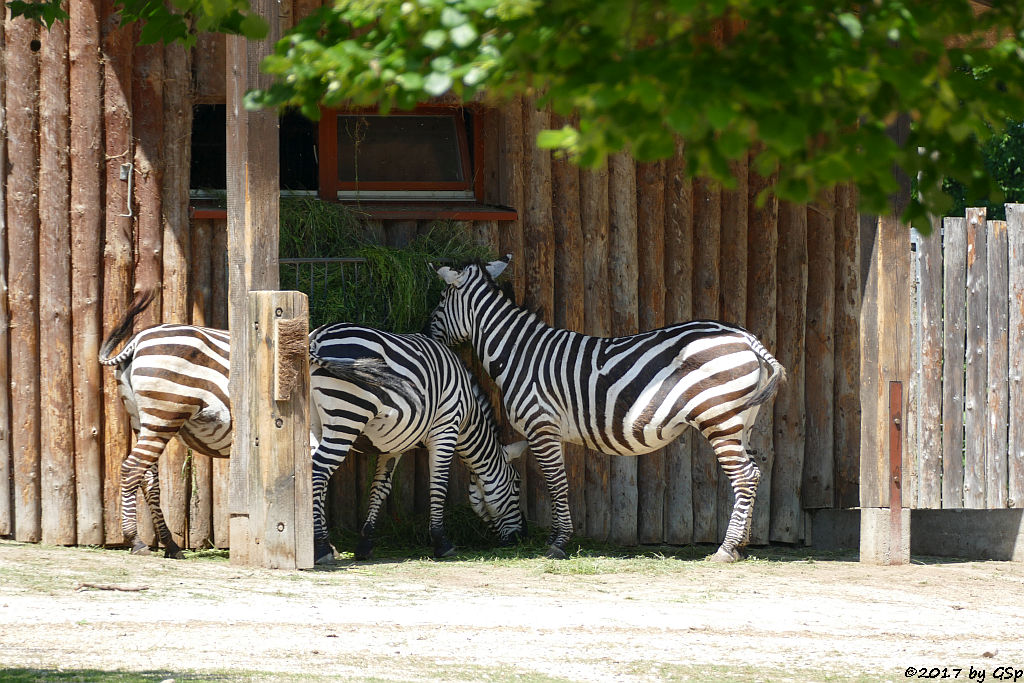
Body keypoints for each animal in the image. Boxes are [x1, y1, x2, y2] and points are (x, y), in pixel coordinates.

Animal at [309, 323, 528, 565]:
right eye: (517, 484)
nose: (522, 536)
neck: (468, 415)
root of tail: (317, 338)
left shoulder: (392, 446)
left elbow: (380, 488)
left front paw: (365, 544)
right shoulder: (446, 429)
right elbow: (439, 484)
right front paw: (442, 543)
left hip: (314, 422)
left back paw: (323, 545)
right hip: (347, 417)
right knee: (318, 472)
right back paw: (321, 548)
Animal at [428, 255, 786, 561]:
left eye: (441, 302)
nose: (427, 334)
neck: (518, 353)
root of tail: (748, 338)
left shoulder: (541, 425)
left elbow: (556, 483)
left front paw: (559, 543)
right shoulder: (549, 431)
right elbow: (558, 482)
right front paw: (556, 538)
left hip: (719, 418)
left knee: (744, 476)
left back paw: (726, 549)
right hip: (741, 422)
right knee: (754, 473)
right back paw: (740, 546)